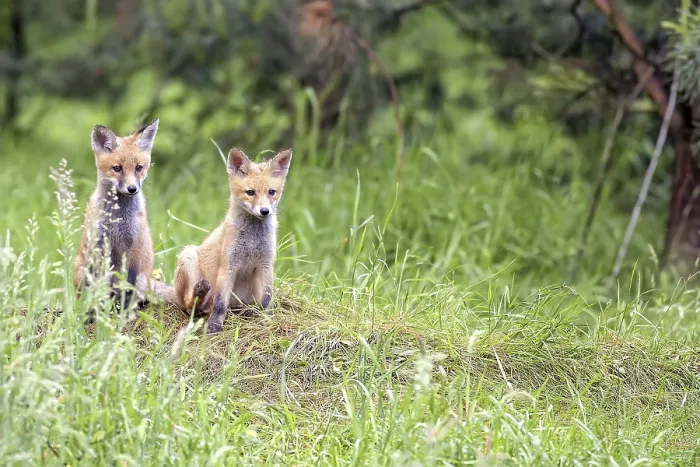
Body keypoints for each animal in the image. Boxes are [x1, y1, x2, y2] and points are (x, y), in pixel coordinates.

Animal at [74, 119, 178, 309]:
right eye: (117, 168)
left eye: (138, 168)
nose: (132, 188)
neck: (118, 217)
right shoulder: (99, 244)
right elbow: (100, 282)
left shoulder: (134, 245)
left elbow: (128, 284)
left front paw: (124, 308)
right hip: (81, 269)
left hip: (144, 277)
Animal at [173, 147, 293, 333]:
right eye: (250, 192)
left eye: (271, 192)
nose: (265, 211)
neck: (252, 240)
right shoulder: (228, 266)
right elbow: (220, 303)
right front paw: (214, 326)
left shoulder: (266, 265)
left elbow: (267, 300)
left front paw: (269, 321)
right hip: (188, 256)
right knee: (191, 305)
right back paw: (199, 296)